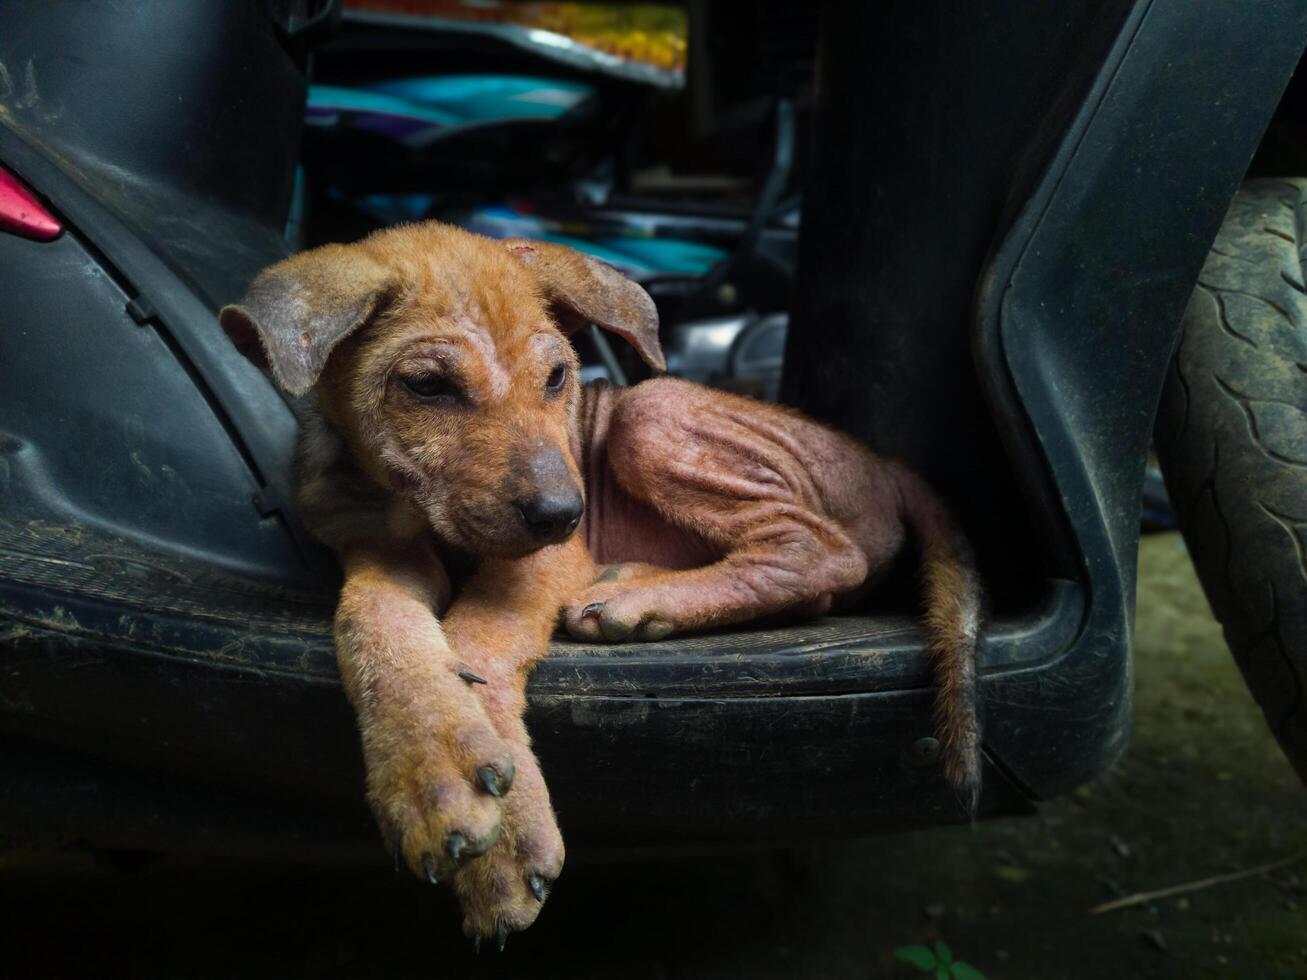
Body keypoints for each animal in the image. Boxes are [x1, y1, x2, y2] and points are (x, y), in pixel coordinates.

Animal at [222, 220, 982, 946]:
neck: (406, 507)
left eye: (557, 376)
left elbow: (477, 636)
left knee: (822, 551)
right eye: (427, 386)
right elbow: (373, 622)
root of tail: (885, 464)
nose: (565, 513)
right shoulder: (375, 546)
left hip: (652, 412)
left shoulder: (545, 559)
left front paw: (501, 832)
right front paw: (428, 764)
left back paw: (637, 599)